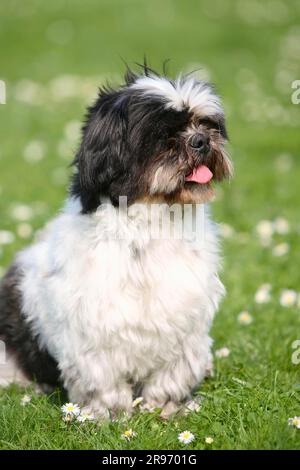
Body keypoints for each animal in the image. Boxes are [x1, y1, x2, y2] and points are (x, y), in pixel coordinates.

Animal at [0, 63, 232, 418]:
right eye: (163, 134)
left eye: (206, 124)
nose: (201, 140)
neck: (151, 226)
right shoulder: (93, 334)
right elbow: (102, 380)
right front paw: (108, 415)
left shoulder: (184, 324)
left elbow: (172, 374)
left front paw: (166, 408)